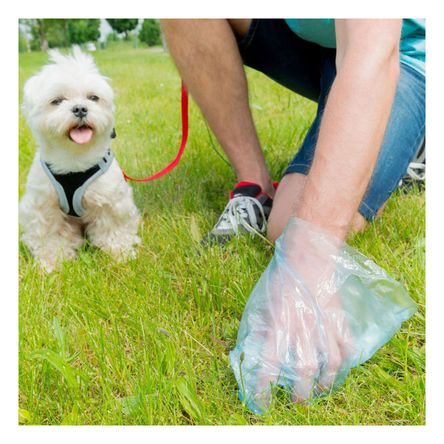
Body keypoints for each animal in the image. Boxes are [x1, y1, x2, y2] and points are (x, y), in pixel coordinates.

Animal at [19, 47, 139, 270]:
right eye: (57, 101)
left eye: (93, 98)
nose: (80, 108)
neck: (74, 159)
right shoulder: (43, 206)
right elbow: (49, 236)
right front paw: (52, 263)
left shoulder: (111, 199)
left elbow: (114, 229)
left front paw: (120, 254)